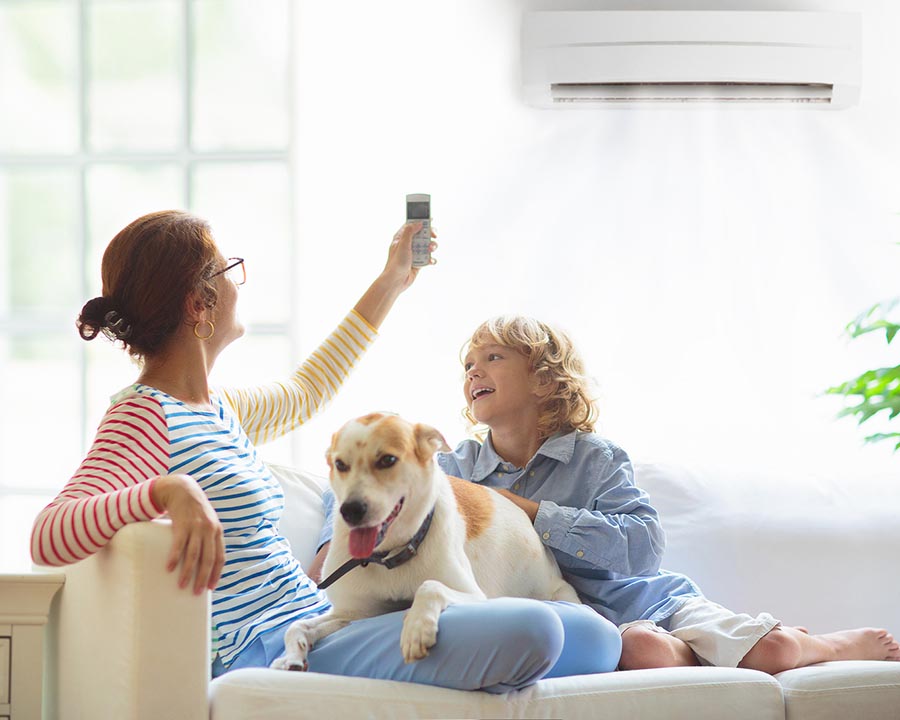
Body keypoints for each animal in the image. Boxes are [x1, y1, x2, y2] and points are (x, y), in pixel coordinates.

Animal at [268, 414, 576, 672]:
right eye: (340, 465)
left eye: (387, 460)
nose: (350, 510)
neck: (389, 557)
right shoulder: (357, 613)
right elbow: (297, 625)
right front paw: (291, 656)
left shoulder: (473, 594)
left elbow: (429, 586)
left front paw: (417, 629)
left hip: (560, 592)